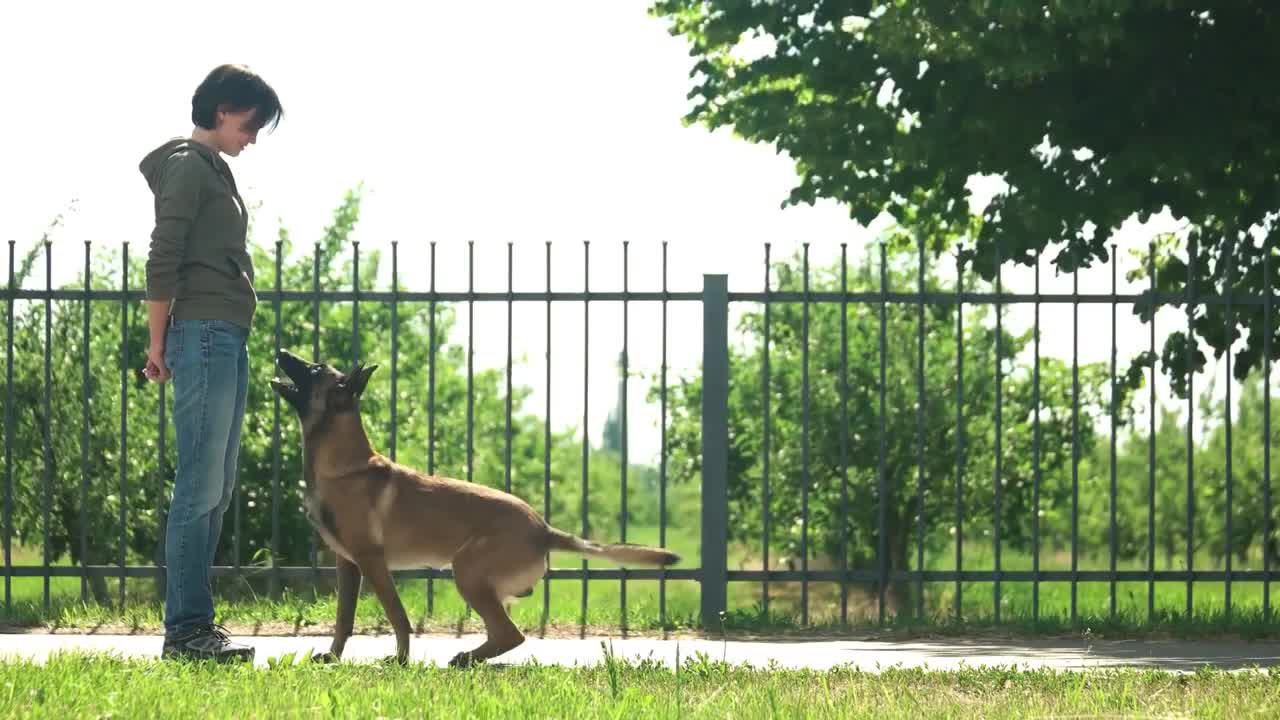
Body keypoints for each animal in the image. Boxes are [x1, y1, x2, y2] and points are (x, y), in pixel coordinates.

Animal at [270, 351, 680, 666]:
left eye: (315, 369)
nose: (282, 352)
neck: (344, 464)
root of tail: (543, 528)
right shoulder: (348, 565)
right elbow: (344, 619)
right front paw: (333, 656)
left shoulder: (372, 562)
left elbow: (398, 617)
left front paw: (400, 659)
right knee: (506, 633)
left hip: (466, 571)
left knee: (511, 634)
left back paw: (466, 658)